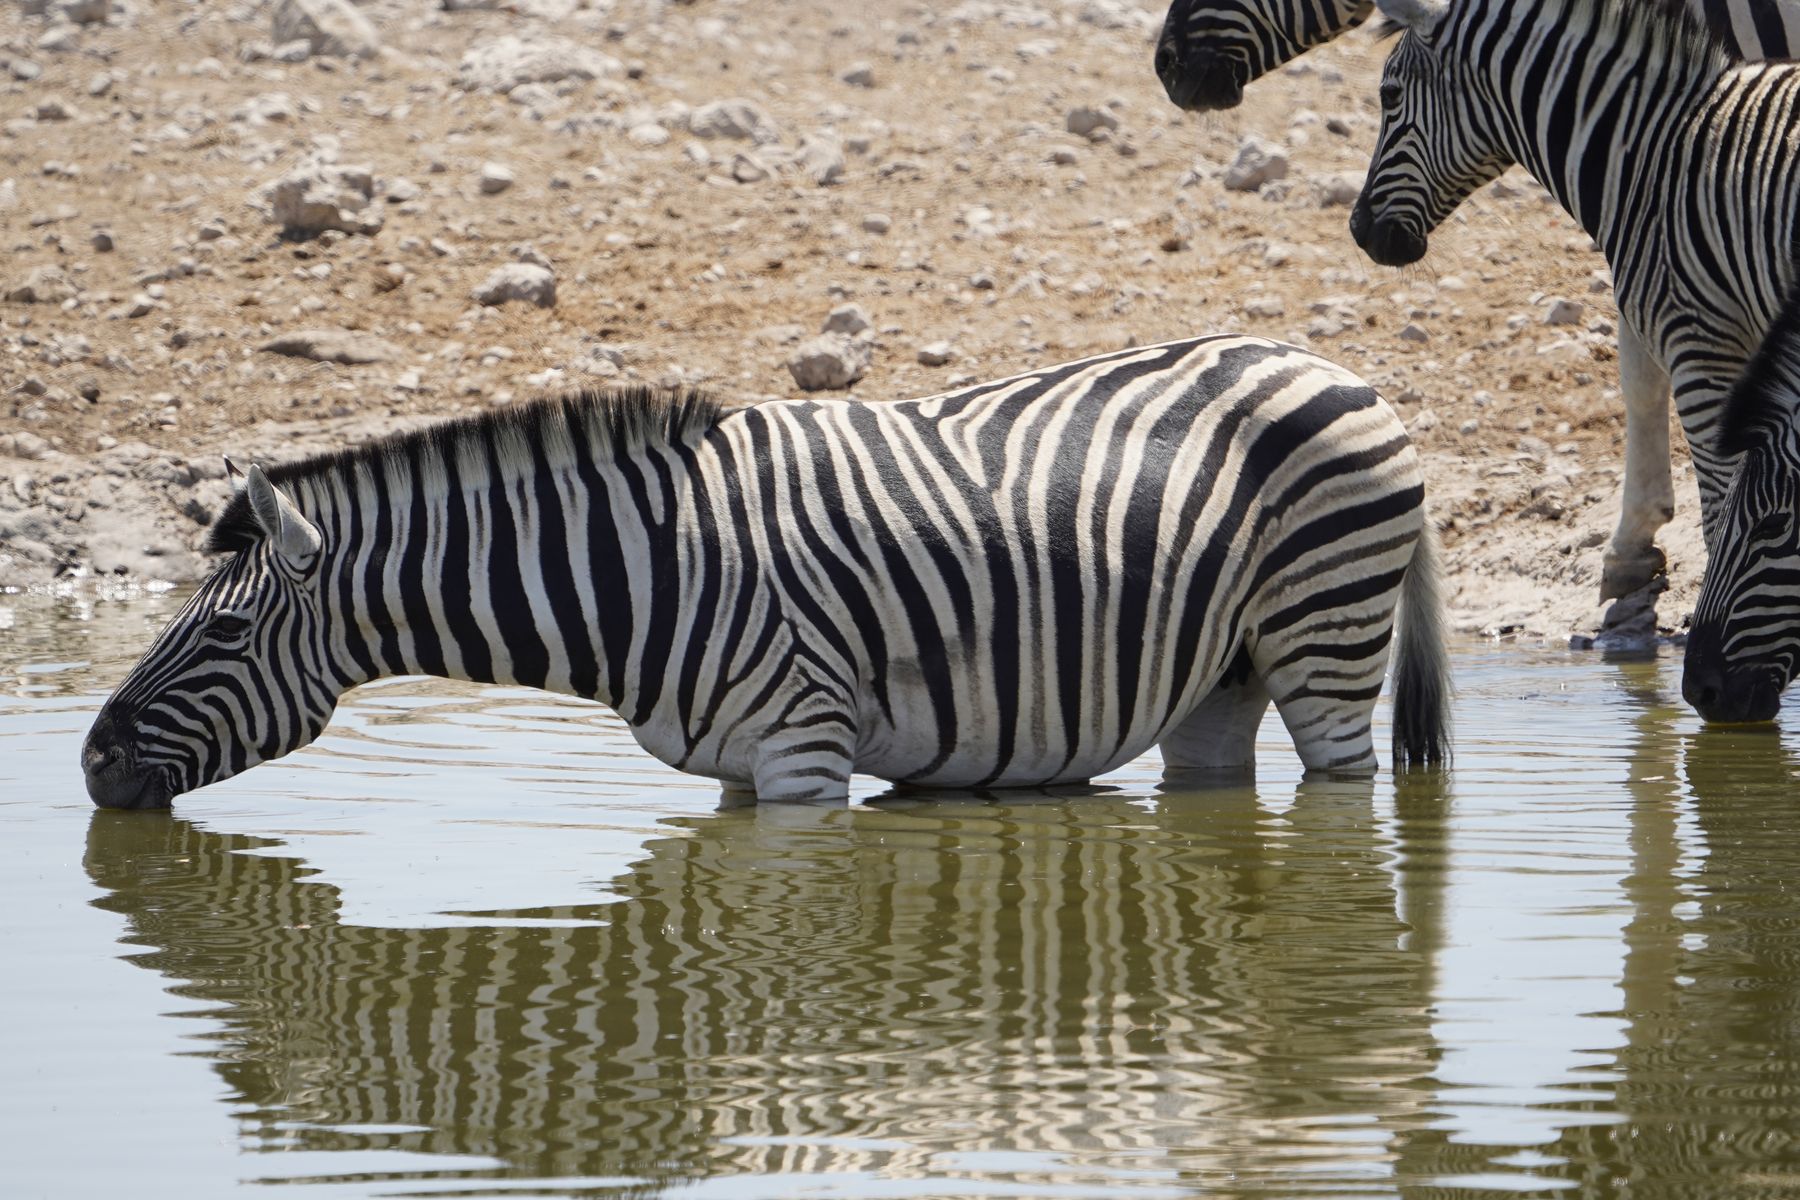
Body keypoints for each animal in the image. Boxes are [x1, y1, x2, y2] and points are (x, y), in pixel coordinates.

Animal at [81, 336, 1449, 809]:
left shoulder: (801, 754)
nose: (91, 764)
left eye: (219, 637)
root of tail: (1333, 363)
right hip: (1224, 676)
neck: (641, 571)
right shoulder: (738, 772)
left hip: (1325, 642)